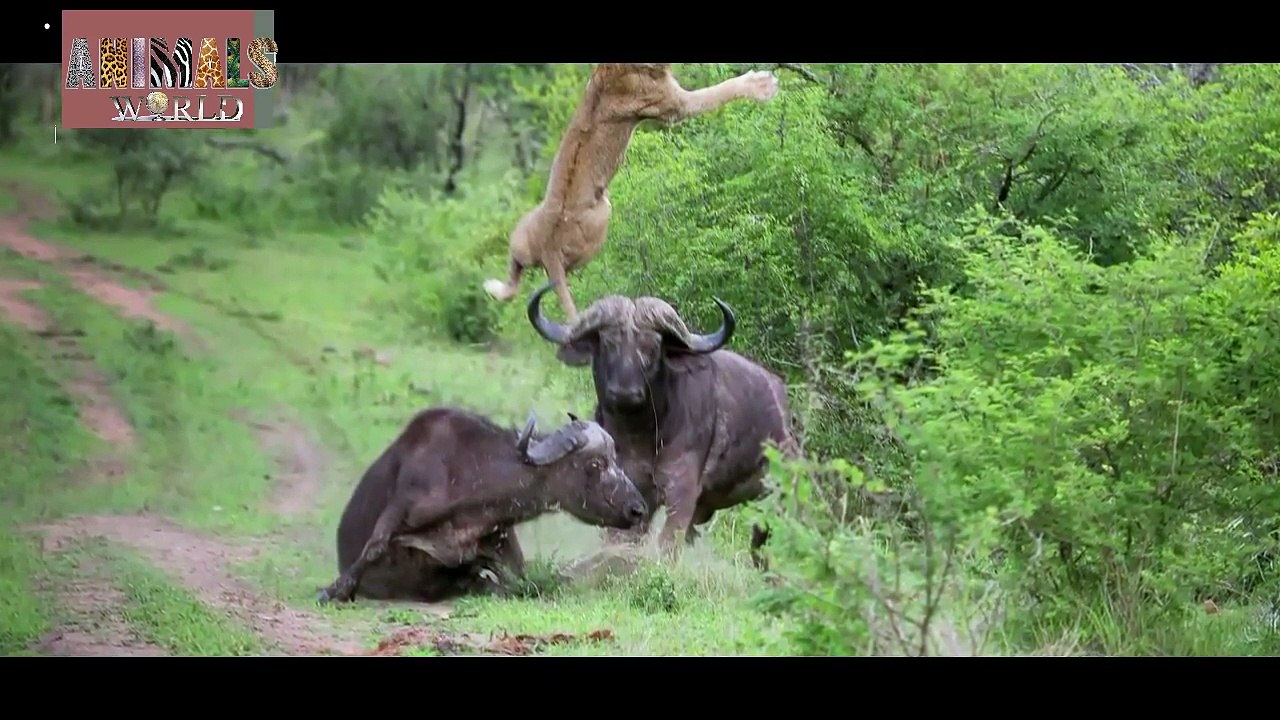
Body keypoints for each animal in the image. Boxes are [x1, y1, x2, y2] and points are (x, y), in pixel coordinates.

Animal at [318, 405, 649, 604]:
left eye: (615, 459)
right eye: (595, 464)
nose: (638, 510)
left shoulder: (501, 541)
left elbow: (523, 580)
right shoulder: (403, 505)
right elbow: (374, 547)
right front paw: (335, 590)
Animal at [482, 63, 780, 320]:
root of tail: (549, 251)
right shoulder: (674, 105)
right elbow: (720, 90)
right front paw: (764, 84)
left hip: (521, 236)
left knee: (514, 276)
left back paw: (493, 286)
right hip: (602, 215)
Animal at [526, 281, 798, 566]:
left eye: (652, 348)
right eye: (609, 343)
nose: (625, 392)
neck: (640, 436)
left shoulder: (682, 490)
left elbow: (668, 543)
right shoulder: (631, 490)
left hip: (774, 498)